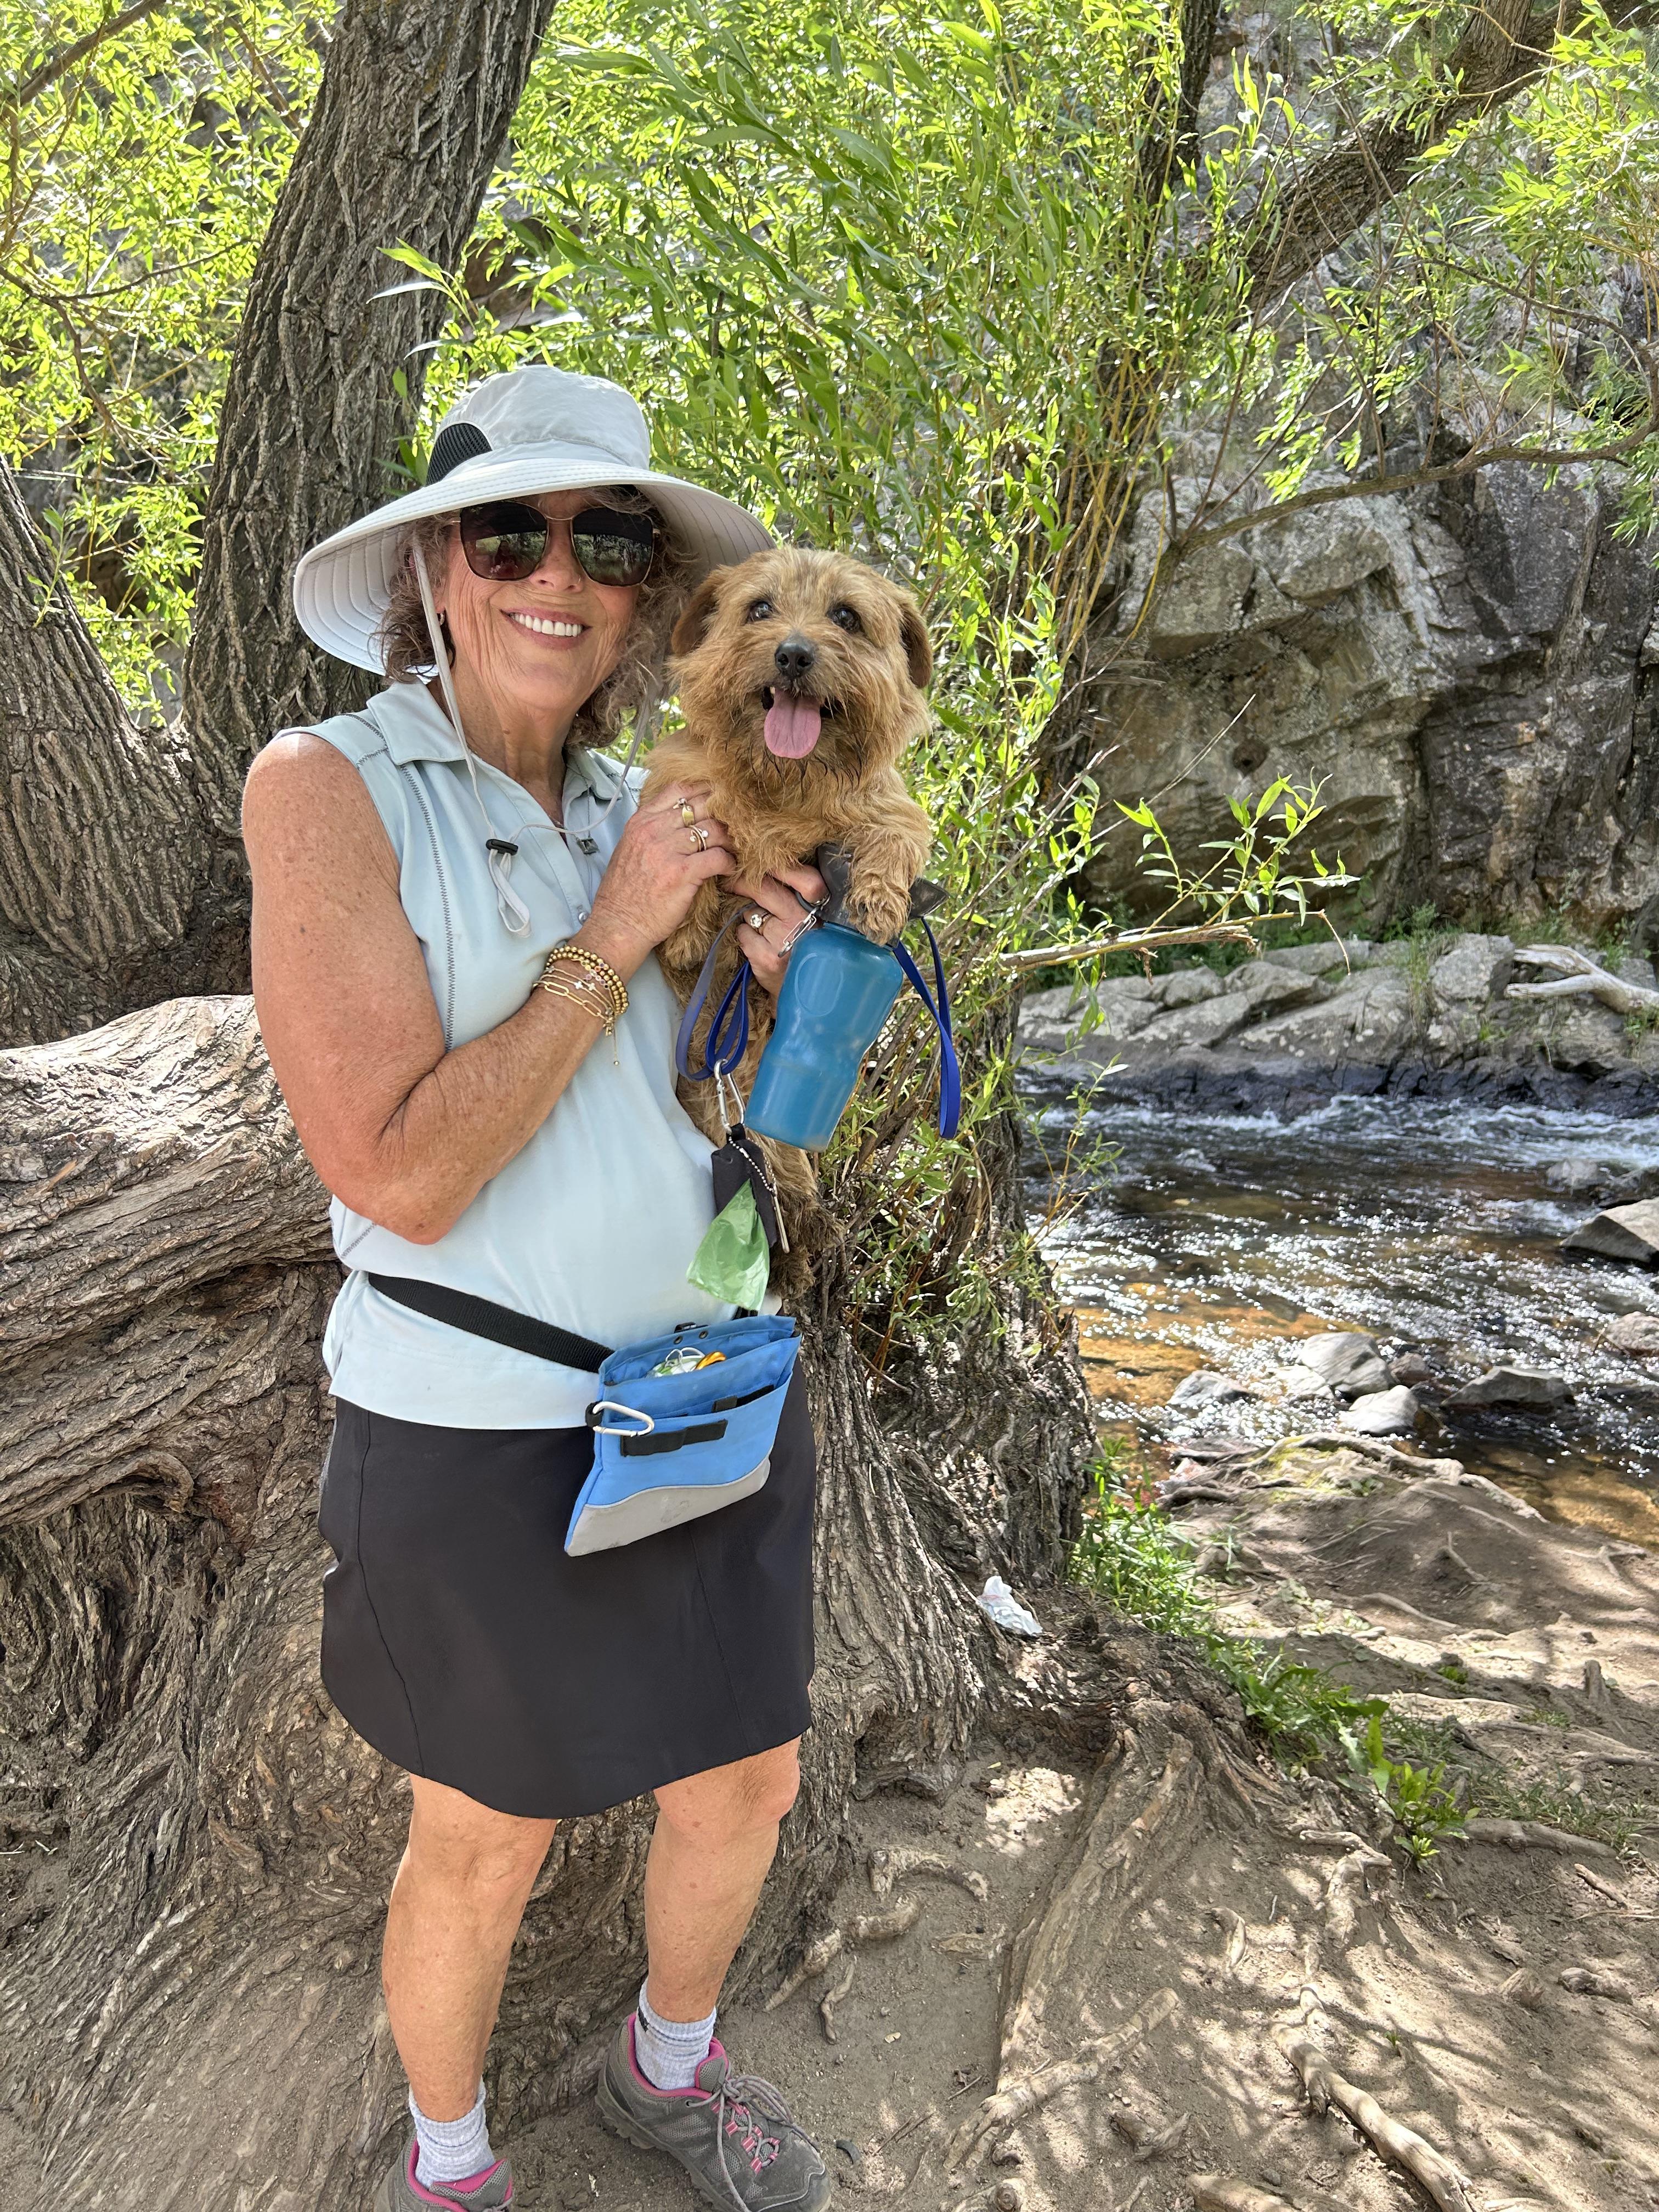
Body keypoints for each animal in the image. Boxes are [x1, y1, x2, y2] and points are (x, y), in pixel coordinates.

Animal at [644, 546, 936, 1262]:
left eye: (847, 616)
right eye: (759, 608)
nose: (795, 654)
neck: (782, 783)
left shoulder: (889, 810)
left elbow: (894, 838)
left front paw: (877, 901)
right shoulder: (683, 784)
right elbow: (700, 823)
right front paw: (689, 928)